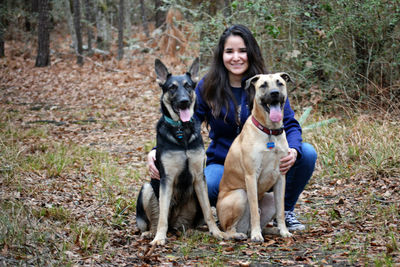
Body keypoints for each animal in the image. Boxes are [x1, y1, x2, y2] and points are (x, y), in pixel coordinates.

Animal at [217, 73, 292, 243]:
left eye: (280, 83)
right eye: (263, 85)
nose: (274, 93)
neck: (270, 131)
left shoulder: (281, 177)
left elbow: (281, 210)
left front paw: (284, 231)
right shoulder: (251, 176)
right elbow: (254, 210)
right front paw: (256, 235)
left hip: (270, 199)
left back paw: (272, 230)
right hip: (239, 194)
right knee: (229, 229)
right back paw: (240, 234)